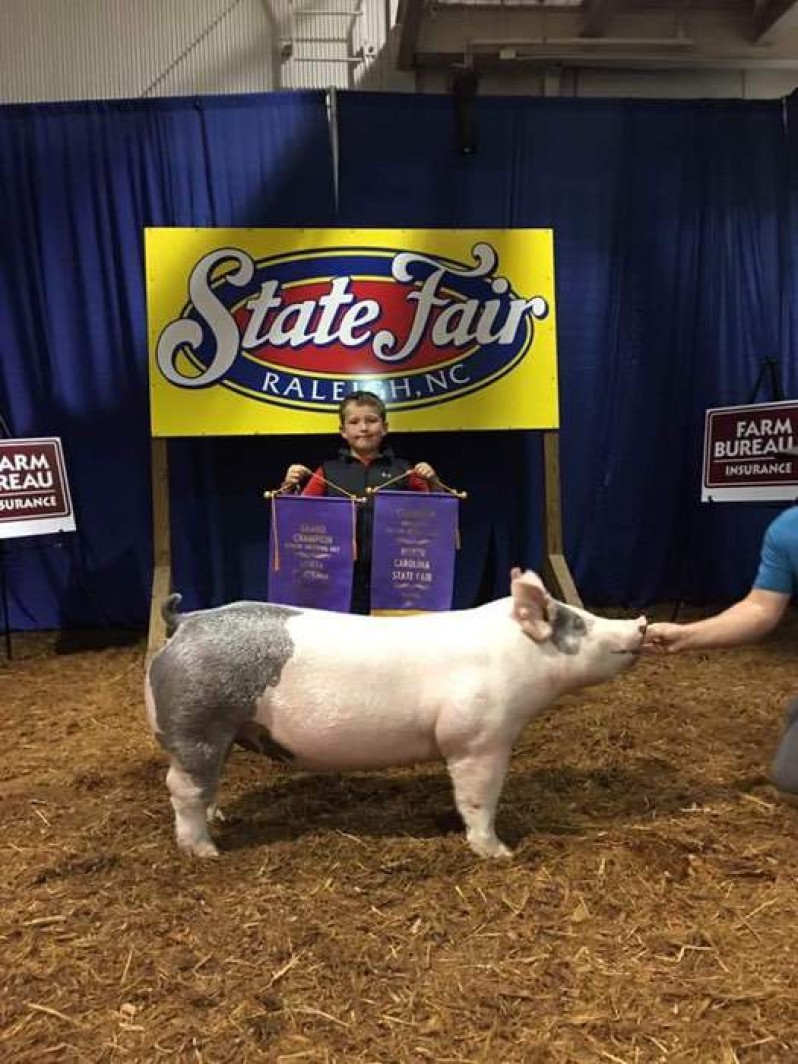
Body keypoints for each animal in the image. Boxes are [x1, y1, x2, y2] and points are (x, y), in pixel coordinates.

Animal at [143, 570, 646, 859]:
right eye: (578, 623)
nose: (639, 623)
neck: (513, 657)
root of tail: (186, 621)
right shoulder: (477, 738)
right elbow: (479, 798)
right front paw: (500, 853)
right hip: (195, 722)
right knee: (181, 788)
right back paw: (207, 852)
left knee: (207, 785)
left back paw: (221, 819)